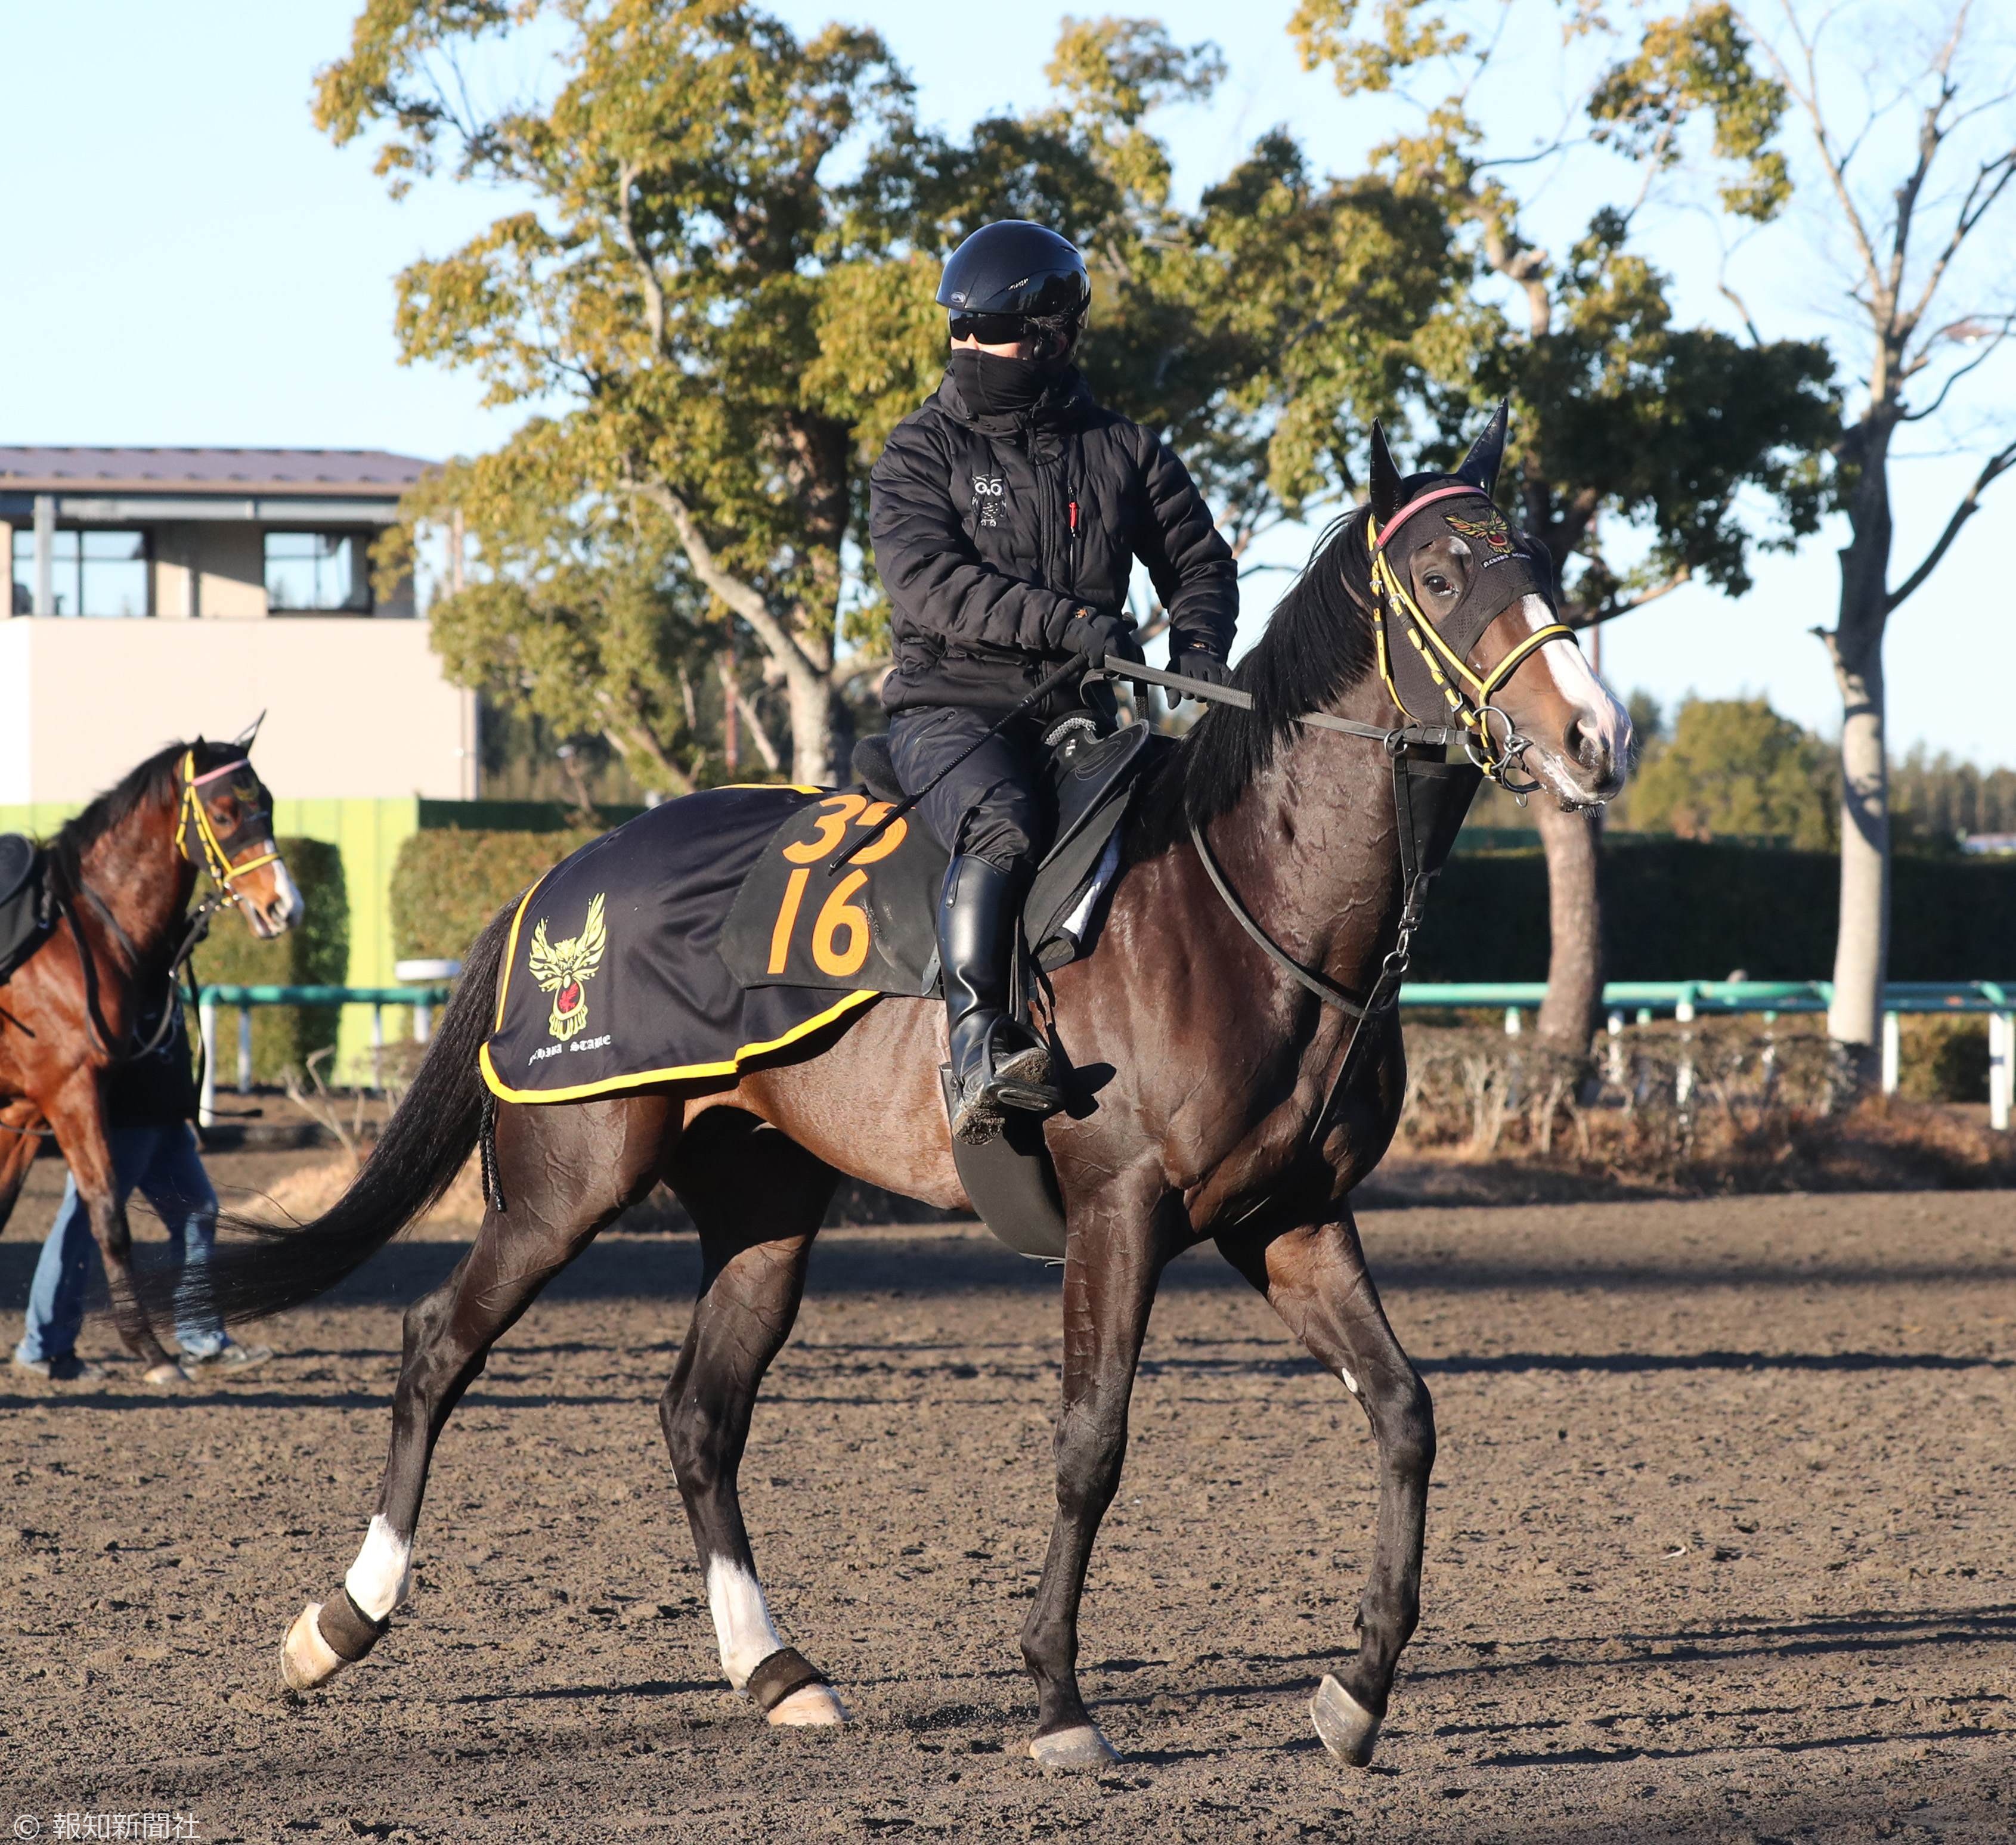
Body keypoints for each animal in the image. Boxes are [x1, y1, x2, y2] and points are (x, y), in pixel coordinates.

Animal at [0, 738, 300, 1387]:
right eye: (225, 813)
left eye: (267, 802)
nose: (285, 906)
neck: (80, 934)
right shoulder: (71, 1093)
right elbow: (108, 1217)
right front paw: (152, 1351)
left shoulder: (26, 1110)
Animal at [177, 421, 1637, 1774]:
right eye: (1441, 573)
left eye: (1542, 559)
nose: (1596, 735)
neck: (1246, 904)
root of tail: (564, 874)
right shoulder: (1119, 1212)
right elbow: (1091, 1444)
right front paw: (1057, 1702)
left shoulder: (1288, 1217)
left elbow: (1404, 1414)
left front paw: (1357, 1691)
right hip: (563, 1184)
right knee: (439, 1345)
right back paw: (337, 1624)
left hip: (764, 1207)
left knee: (699, 1413)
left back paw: (775, 1668)